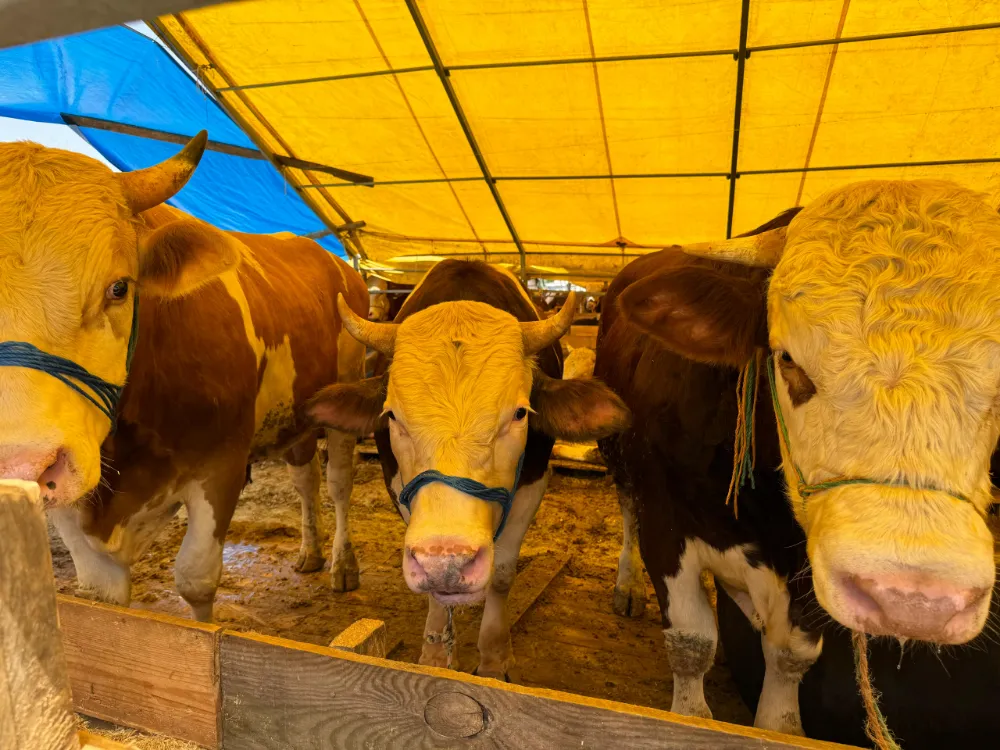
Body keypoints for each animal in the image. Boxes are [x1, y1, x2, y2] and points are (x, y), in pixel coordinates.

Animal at [0, 132, 370, 620]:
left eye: (120, 287)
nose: (18, 466)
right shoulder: (75, 499)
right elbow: (106, 595)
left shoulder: (222, 463)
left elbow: (196, 581)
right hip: (297, 411)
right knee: (305, 479)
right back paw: (310, 552)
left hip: (346, 393)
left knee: (339, 483)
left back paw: (343, 566)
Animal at [308, 262, 628, 684]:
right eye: (392, 415)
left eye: (520, 413)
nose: (447, 562)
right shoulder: (399, 488)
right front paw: (434, 652)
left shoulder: (534, 484)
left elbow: (503, 573)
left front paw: (494, 657)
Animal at [596, 181, 1000, 740]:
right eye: (787, 359)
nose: (913, 599)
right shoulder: (667, 525)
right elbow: (692, 644)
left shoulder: (808, 573)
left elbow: (789, 660)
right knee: (627, 512)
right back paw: (625, 585)